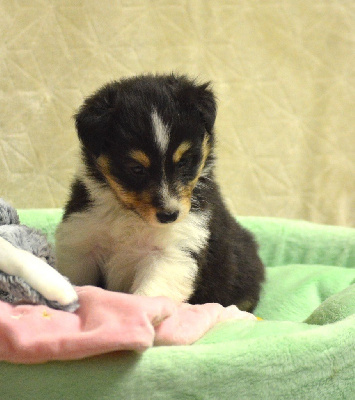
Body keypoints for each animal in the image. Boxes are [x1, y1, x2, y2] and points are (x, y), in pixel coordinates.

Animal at [55, 76, 266, 312]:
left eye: (183, 161)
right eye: (136, 169)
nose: (169, 215)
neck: (131, 216)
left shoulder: (173, 252)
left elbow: (150, 295)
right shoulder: (81, 243)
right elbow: (78, 281)